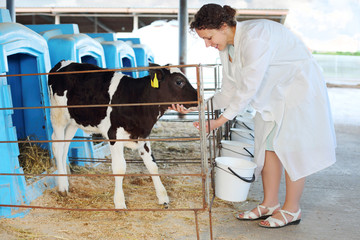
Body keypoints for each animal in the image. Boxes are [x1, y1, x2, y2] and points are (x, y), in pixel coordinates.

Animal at [47, 61, 197, 209]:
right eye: (179, 81)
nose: (198, 97)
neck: (137, 100)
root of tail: (62, 63)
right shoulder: (114, 134)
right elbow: (119, 168)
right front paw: (119, 202)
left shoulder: (143, 136)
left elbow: (152, 165)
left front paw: (163, 197)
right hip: (58, 115)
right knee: (57, 146)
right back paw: (62, 187)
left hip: (73, 121)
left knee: (65, 146)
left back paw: (65, 181)